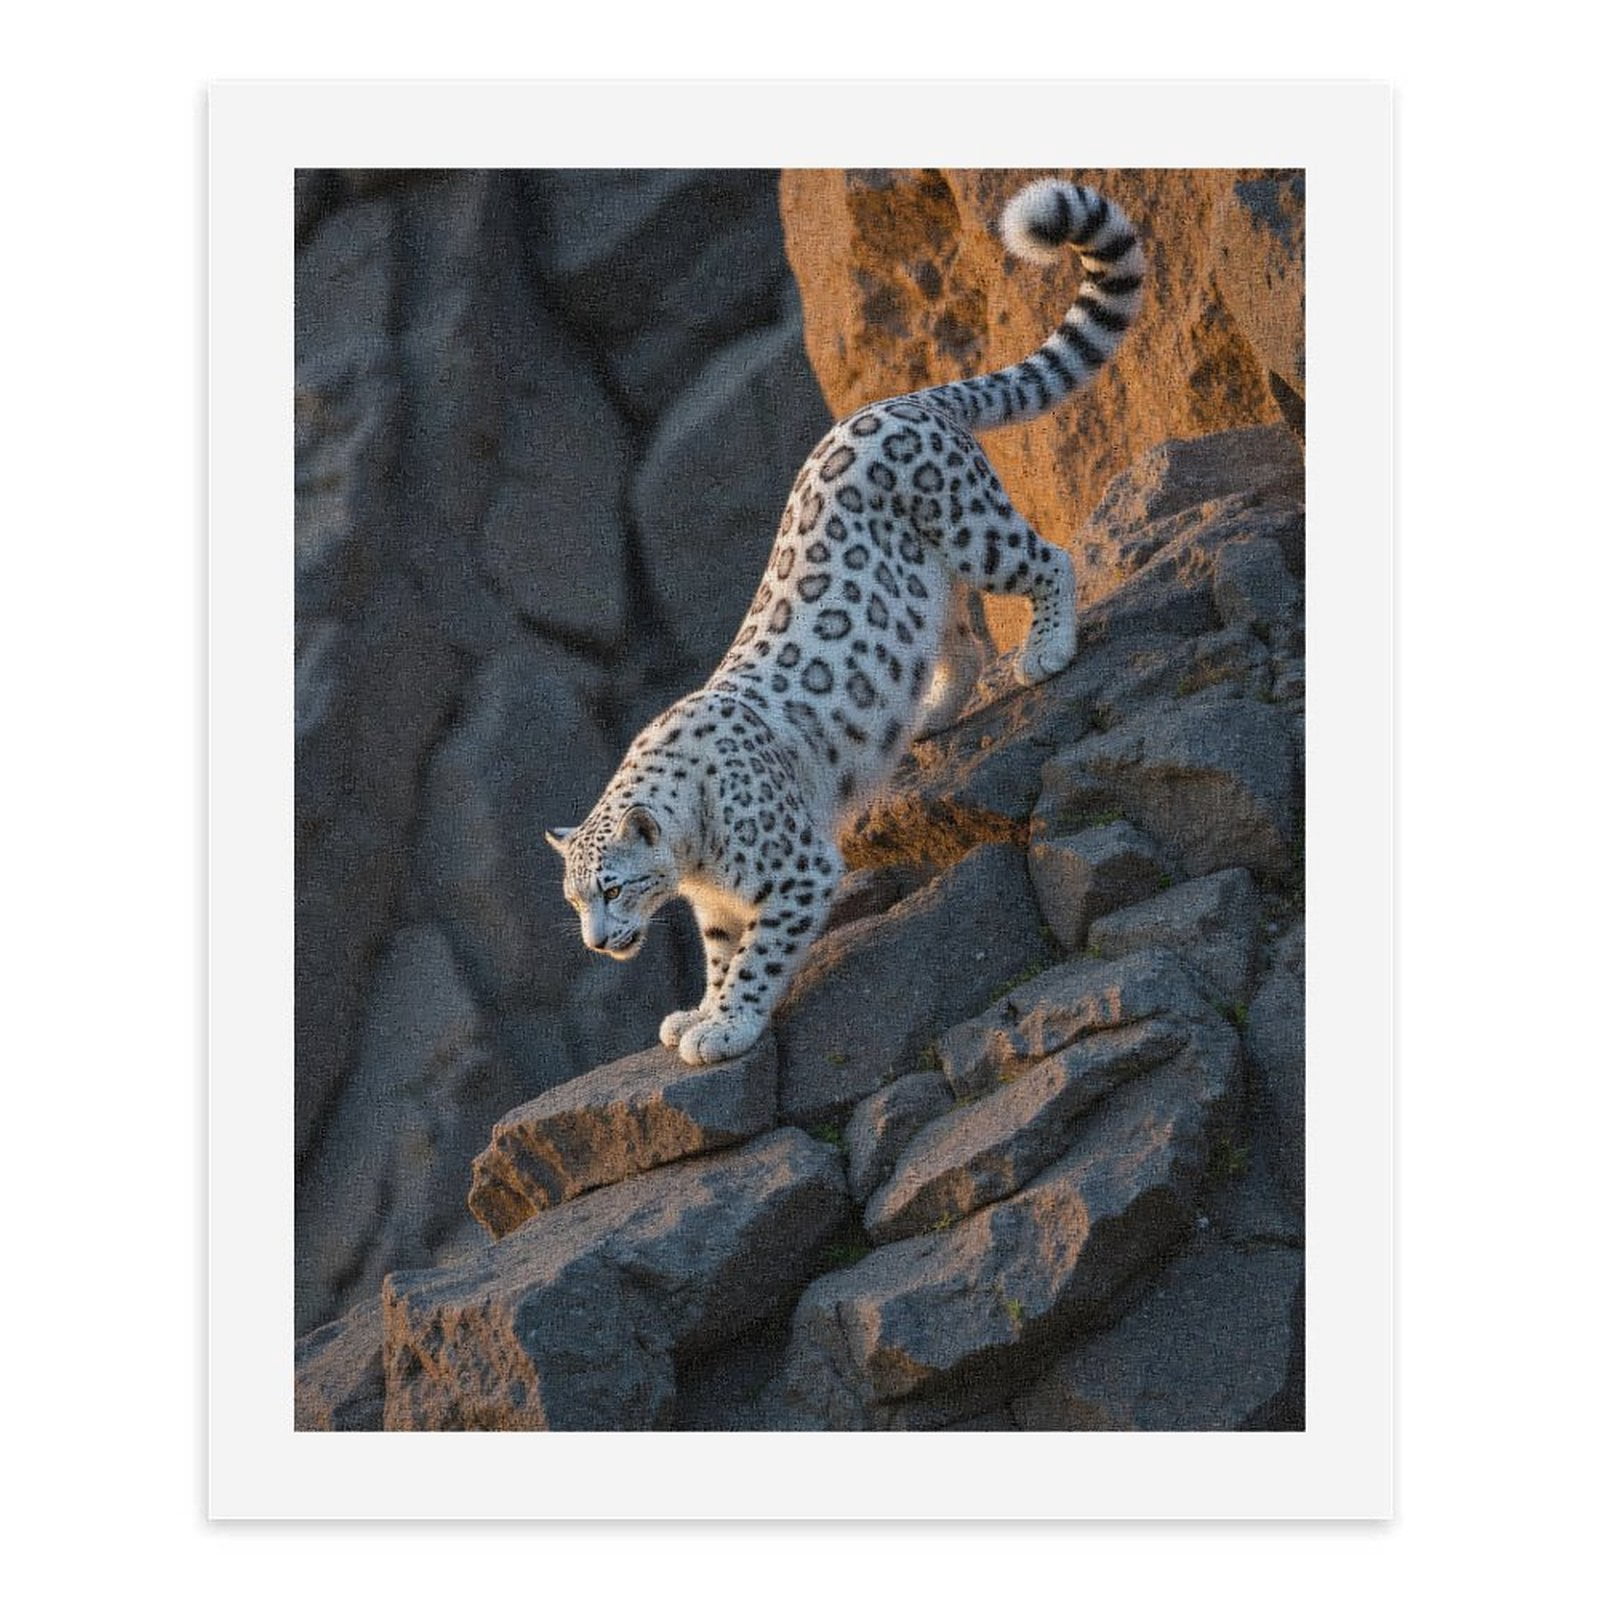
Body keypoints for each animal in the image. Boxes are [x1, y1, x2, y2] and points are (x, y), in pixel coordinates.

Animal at [547, 178, 1146, 1067]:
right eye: (572, 897)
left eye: (612, 886)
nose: (595, 941)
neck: (695, 864)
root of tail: (902, 400)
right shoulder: (717, 905)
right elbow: (723, 954)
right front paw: (697, 1013)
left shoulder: (793, 870)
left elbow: (757, 958)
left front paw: (725, 1027)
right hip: (925, 589)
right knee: (959, 638)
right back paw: (929, 715)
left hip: (971, 527)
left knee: (1047, 559)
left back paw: (1047, 651)